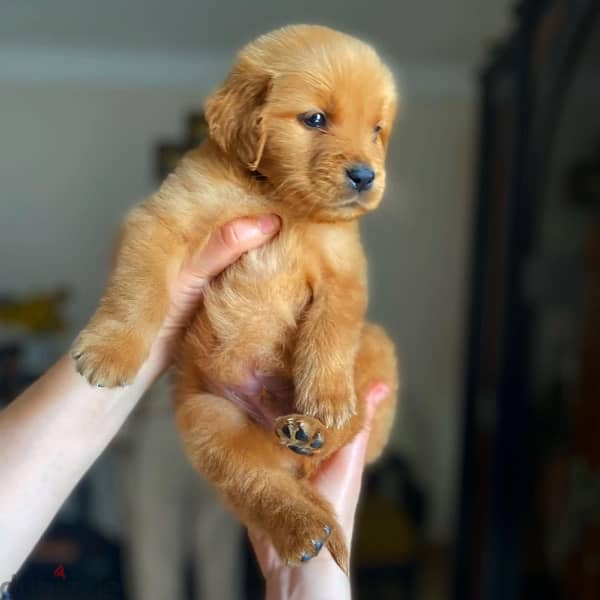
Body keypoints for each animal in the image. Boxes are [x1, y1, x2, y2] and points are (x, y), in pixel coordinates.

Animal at [74, 24, 398, 572]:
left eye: (377, 129)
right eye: (315, 119)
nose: (365, 176)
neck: (276, 194)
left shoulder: (344, 272)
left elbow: (332, 331)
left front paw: (328, 398)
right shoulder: (163, 222)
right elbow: (138, 289)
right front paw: (109, 351)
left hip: (375, 350)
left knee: (329, 445)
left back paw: (308, 430)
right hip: (211, 419)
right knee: (258, 484)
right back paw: (301, 524)